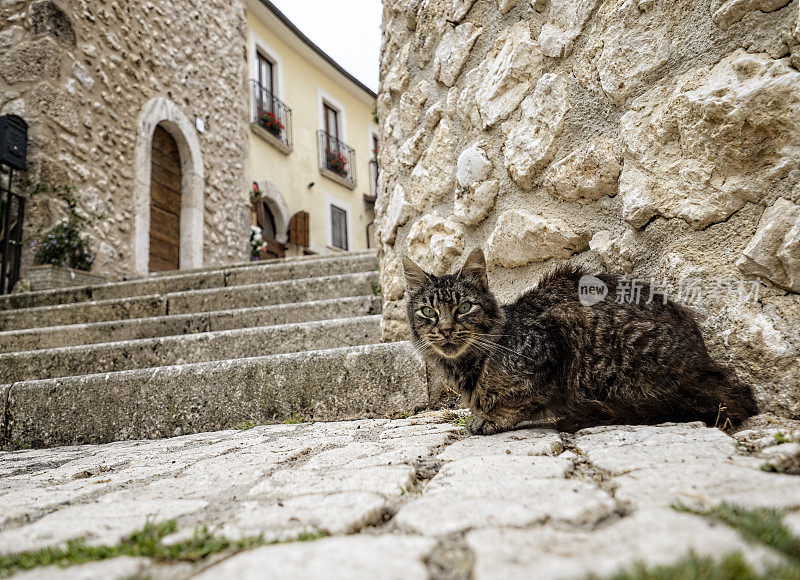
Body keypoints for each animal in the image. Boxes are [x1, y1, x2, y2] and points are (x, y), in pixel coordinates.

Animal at [406, 249, 756, 436]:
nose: (446, 329)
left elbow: (518, 397)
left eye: (464, 307)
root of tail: (705, 365)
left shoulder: (549, 343)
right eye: (428, 312)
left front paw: (491, 417)